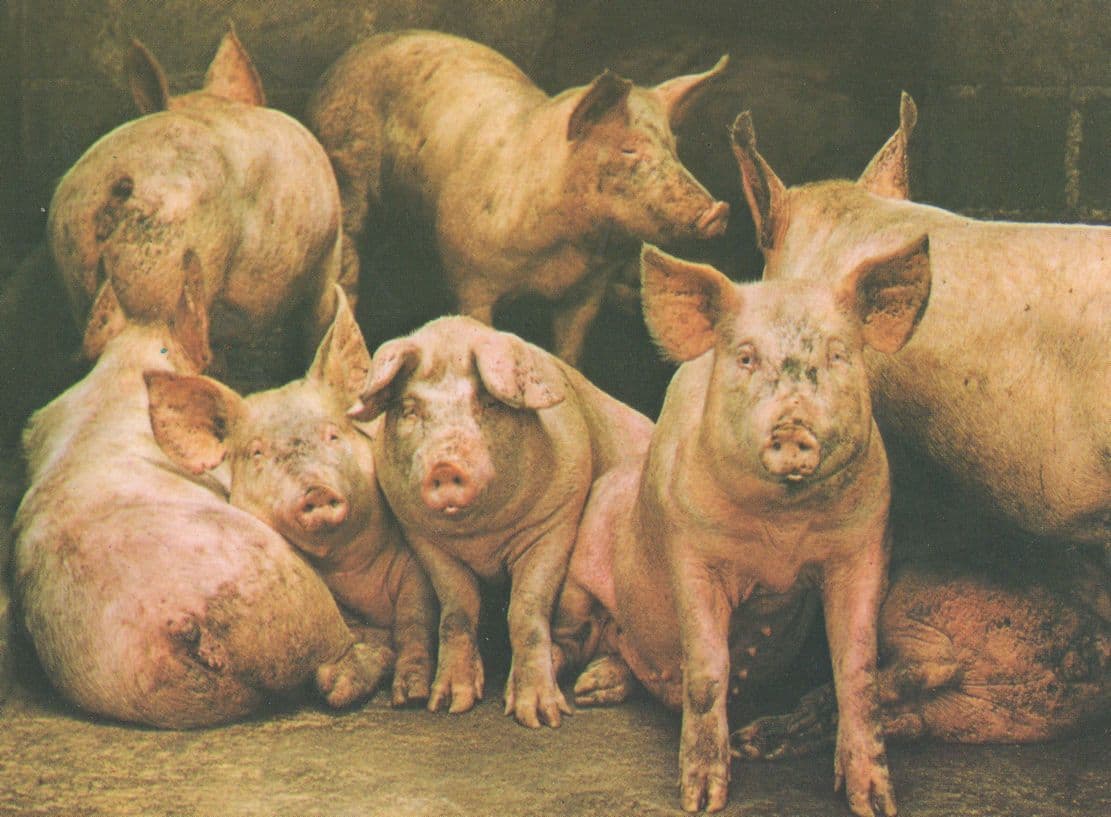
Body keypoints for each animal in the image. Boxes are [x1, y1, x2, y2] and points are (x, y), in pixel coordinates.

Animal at [144, 288, 437, 706]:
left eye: (333, 435)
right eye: (256, 453)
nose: (316, 489)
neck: (350, 571)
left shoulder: (412, 564)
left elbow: (416, 615)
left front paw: (408, 694)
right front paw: (337, 684)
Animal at [307, 29, 730, 364]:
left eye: (674, 146)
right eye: (628, 150)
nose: (719, 211)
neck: (560, 255)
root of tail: (343, 60)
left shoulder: (588, 290)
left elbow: (571, 351)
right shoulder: (471, 276)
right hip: (348, 166)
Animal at [347, 316, 654, 728]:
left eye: (488, 403)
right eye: (410, 410)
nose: (445, 466)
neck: (482, 538)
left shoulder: (555, 523)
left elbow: (525, 611)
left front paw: (539, 717)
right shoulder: (423, 537)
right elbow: (457, 612)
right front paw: (449, 703)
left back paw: (588, 690)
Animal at [555, 243, 932, 815]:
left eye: (838, 355)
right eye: (747, 357)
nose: (792, 426)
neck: (782, 531)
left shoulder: (865, 543)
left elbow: (858, 671)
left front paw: (877, 803)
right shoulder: (692, 549)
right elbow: (708, 669)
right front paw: (701, 800)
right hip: (579, 572)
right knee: (587, 634)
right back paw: (580, 691)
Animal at [733, 555, 1110, 756]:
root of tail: (1087, 651)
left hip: (914, 604)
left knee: (912, 671)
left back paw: (763, 733)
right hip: (968, 715)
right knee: (906, 718)